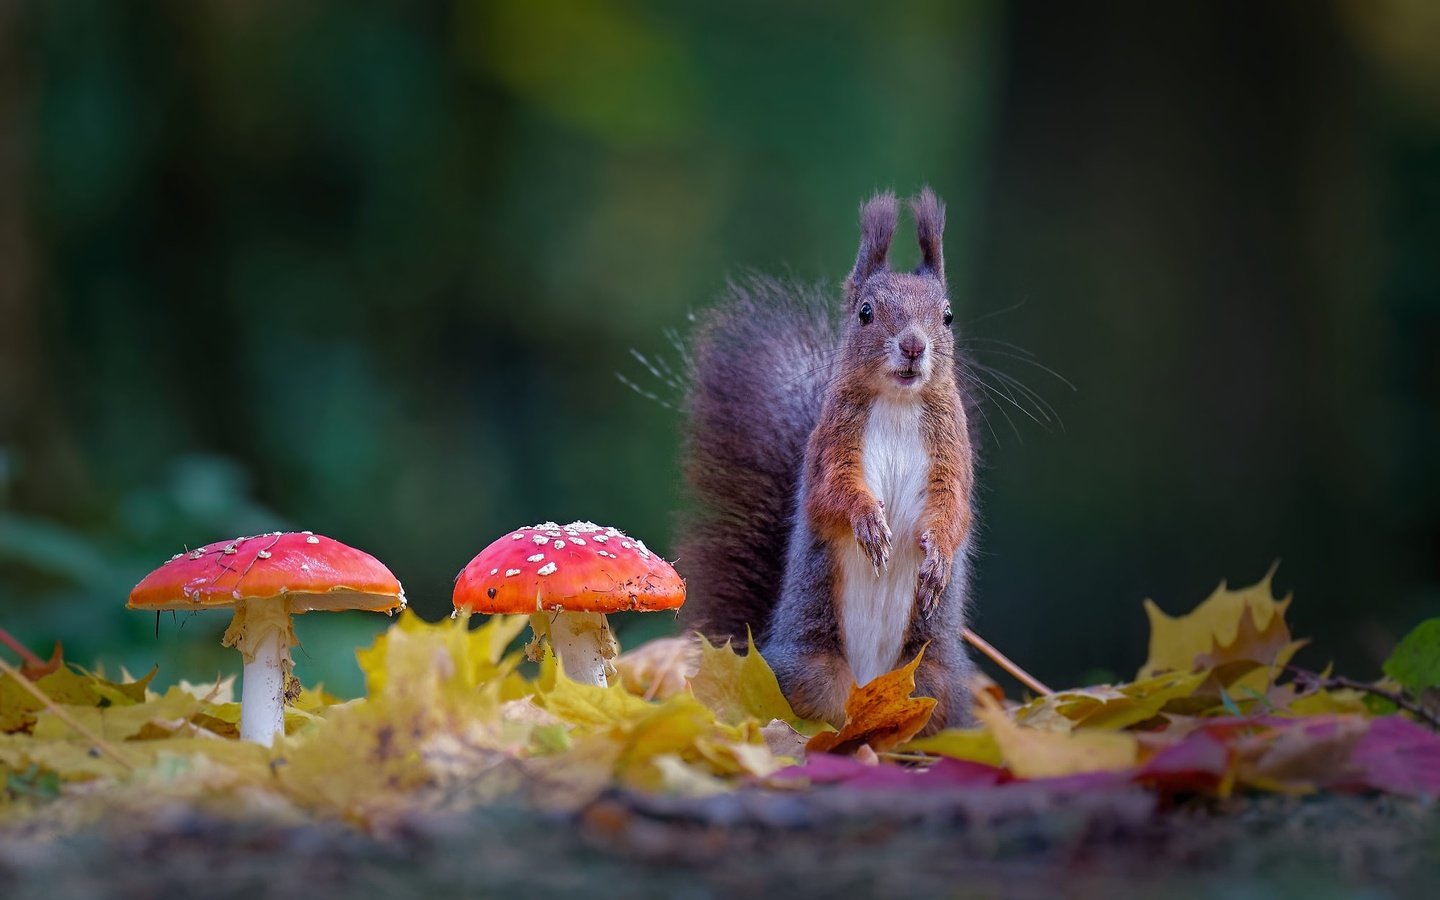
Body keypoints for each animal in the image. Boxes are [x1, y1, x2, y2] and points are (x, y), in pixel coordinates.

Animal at [673, 190, 979, 731]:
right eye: (865, 312)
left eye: (947, 316)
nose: (913, 345)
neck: (898, 403)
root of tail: (872, 695)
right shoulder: (829, 450)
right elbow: (830, 494)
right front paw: (868, 522)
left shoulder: (952, 455)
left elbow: (953, 508)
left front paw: (939, 554)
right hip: (812, 672)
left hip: (932, 682)